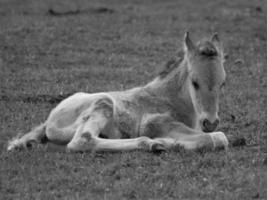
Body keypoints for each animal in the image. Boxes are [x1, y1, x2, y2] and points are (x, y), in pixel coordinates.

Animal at [7, 32, 230, 152]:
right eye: (195, 82)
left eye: (223, 83)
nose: (210, 122)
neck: (168, 98)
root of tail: (50, 120)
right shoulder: (154, 122)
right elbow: (217, 138)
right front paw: (168, 141)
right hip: (103, 102)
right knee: (82, 140)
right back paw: (154, 144)